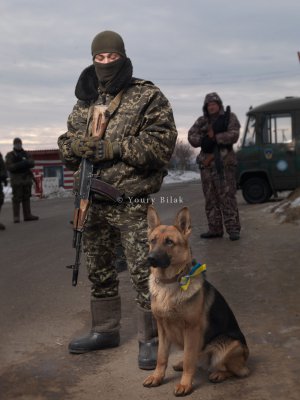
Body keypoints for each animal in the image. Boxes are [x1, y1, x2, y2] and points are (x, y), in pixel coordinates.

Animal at [143, 208, 248, 396]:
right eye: (152, 241)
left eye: (169, 242)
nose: (150, 258)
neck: (169, 284)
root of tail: (247, 355)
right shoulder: (162, 329)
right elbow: (162, 357)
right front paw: (157, 377)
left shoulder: (191, 329)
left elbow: (188, 360)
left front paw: (185, 384)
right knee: (195, 359)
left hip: (227, 346)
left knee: (236, 370)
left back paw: (218, 374)